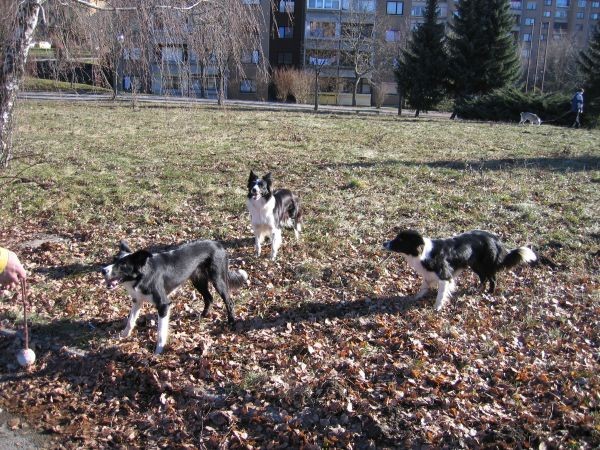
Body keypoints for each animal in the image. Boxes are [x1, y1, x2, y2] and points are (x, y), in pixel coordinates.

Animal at [102, 241, 247, 354]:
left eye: (123, 265)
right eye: (113, 260)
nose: (103, 270)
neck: (144, 274)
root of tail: (218, 244)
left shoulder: (163, 305)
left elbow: (161, 332)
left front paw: (158, 352)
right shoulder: (137, 300)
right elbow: (130, 321)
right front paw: (123, 335)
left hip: (218, 279)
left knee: (229, 301)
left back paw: (231, 321)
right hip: (198, 280)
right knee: (209, 297)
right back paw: (203, 316)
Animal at [384, 230, 540, 312]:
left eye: (400, 240)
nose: (384, 243)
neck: (423, 252)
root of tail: (495, 239)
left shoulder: (444, 276)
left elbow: (441, 295)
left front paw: (437, 308)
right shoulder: (429, 275)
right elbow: (423, 287)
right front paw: (416, 297)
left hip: (485, 265)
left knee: (492, 278)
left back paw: (489, 293)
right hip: (475, 265)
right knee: (483, 278)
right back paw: (478, 289)